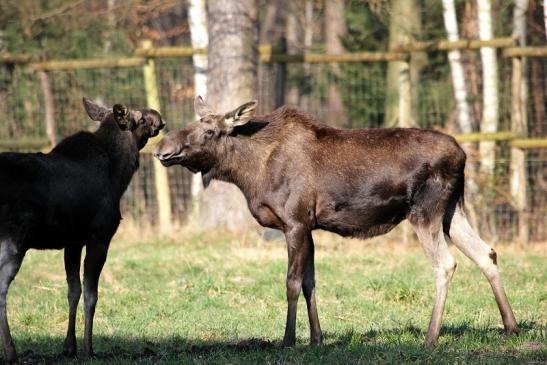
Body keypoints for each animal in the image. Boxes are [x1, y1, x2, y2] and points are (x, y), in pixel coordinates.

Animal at [0, 97, 165, 362]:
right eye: (140, 118)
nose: (158, 116)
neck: (119, 175)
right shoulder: (99, 238)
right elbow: (90, 295)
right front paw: (88, 349)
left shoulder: (73, 242)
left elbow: (72, 291)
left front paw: (70, 347)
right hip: (14, 240)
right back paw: (10, 350)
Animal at [155, 96, 524, 346]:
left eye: (210, 130)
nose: (162, 148)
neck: (249, 173)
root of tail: (462, 156)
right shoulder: (309, 226)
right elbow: (310, 282)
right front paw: (316, 338)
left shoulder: (295, 222)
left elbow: (291, 283)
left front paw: (288, 340)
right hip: (452, 210)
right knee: (486, 253)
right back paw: (511, 326)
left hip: (425, 210)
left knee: (446, 264)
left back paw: (431, 336)